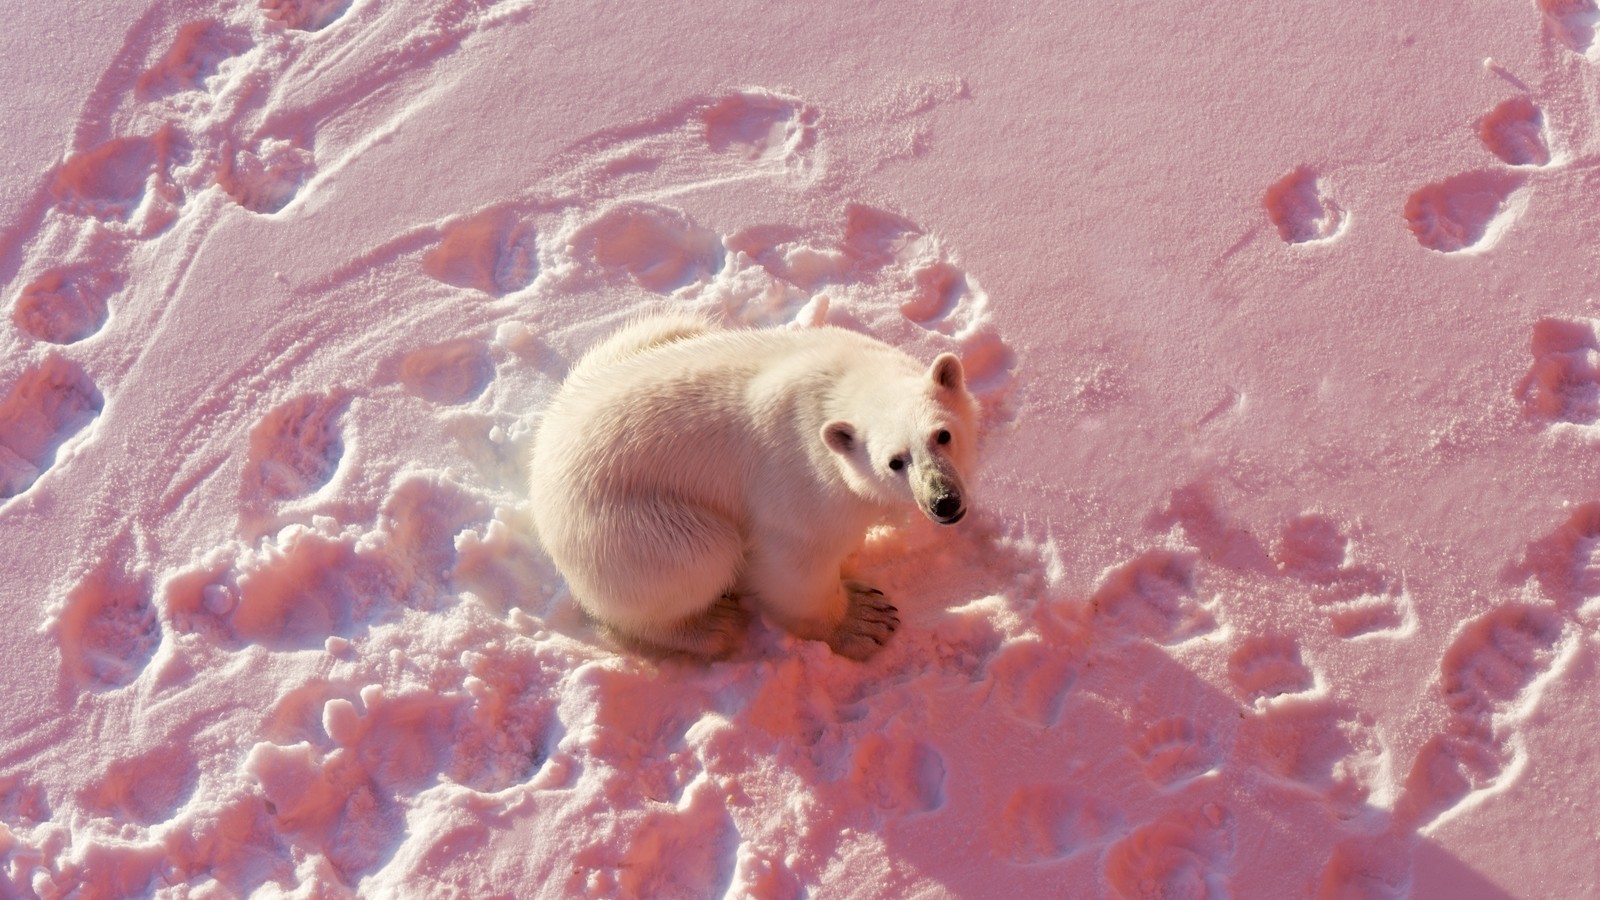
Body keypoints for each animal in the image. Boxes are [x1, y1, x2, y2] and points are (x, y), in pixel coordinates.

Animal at [528, 315, 972, 659]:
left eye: (943, 434)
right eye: (895, 461)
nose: (944, 502)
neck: (839, 383)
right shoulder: (800, 484)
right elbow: (793, 567)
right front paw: (865, 619)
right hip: (627, 526)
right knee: (697, 555)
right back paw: (712, 626)